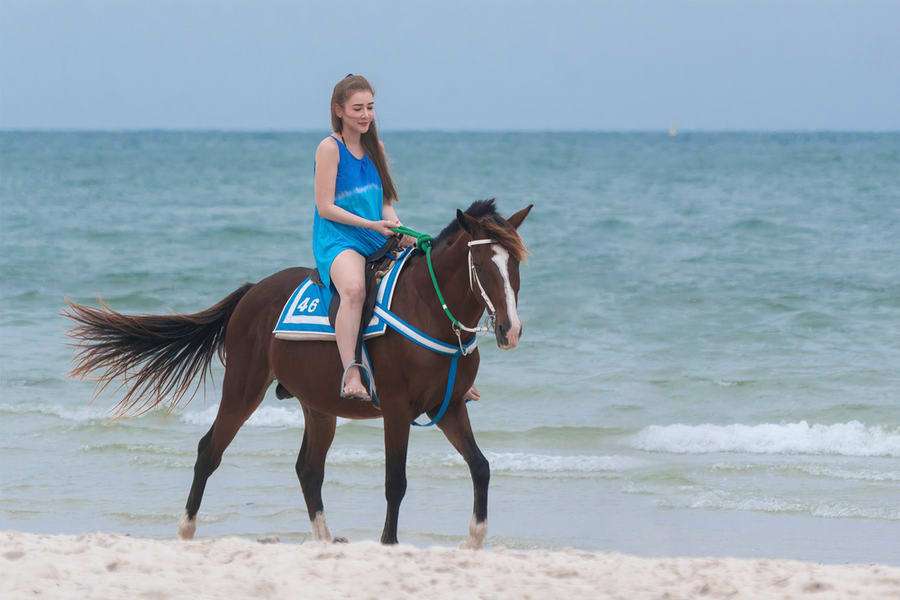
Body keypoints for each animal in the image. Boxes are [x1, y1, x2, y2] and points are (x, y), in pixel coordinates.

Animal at [65, 199, 532, 547]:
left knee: (308, 470)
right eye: (483, 265)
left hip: (319, 406)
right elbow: (395, 480)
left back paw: (324, 539)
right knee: (209, 450)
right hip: (243, 389)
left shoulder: (448, 407)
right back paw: (186, 529)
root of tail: (251, 292)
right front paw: (389, 543)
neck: (428, 308)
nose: (511, 331)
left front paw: (475, 539)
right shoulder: (398, 410)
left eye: (515, 266)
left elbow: (481, 466)